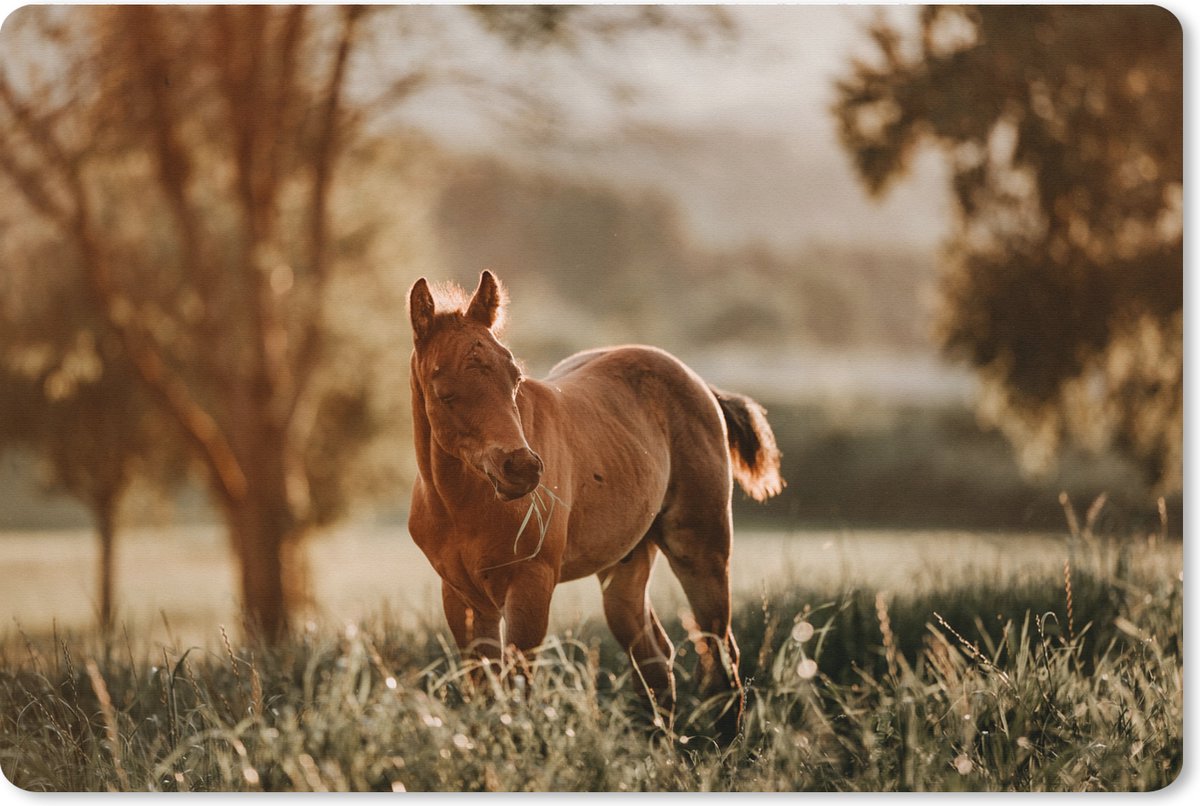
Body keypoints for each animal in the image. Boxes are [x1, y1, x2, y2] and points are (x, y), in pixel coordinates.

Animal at [406, 270, 783, 737]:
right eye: (443, 392)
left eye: (515, 378)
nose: (522, 469)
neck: (462, 505)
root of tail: (700, 385)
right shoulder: (462, 595)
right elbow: (484, 691)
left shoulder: (531, 584)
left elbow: (518, 688)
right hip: (625, 565)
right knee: (654, 659)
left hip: (702, 552)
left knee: (719, 653)